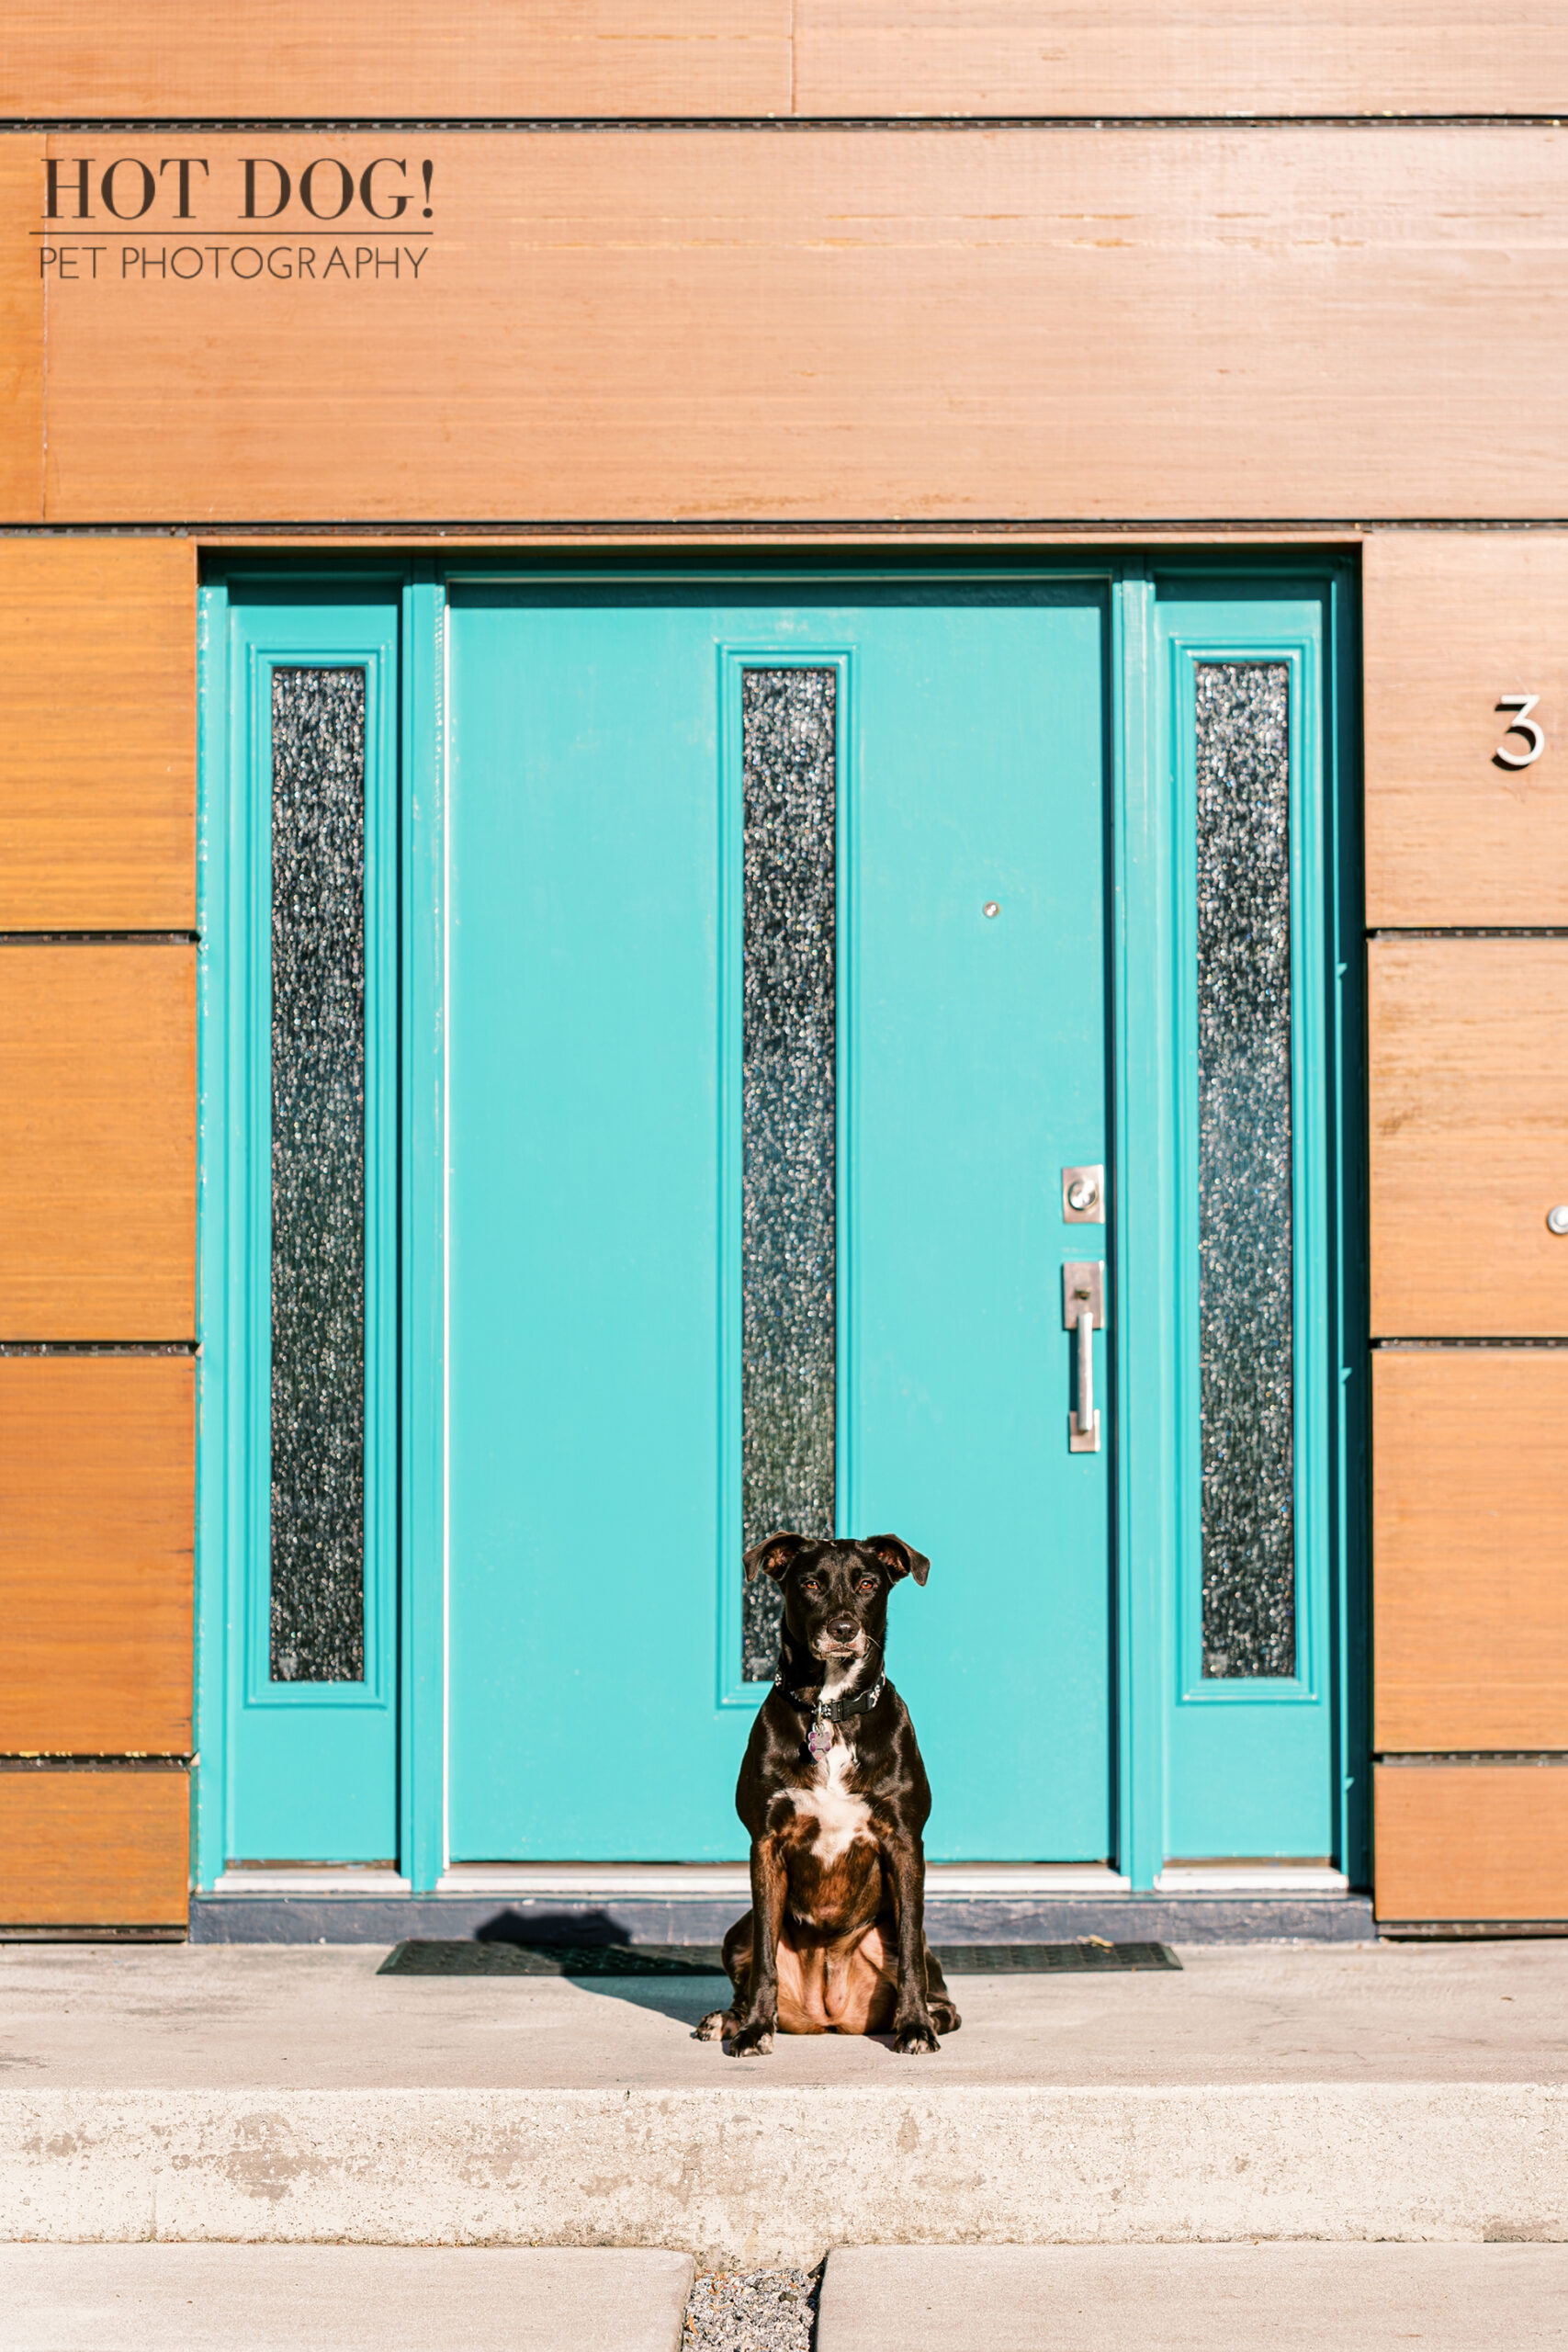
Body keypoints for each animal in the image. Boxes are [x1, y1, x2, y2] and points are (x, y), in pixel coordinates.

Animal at [695, 1533, 964, 2051]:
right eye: (811, 1584)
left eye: (867, 1583)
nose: (843, 1629)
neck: (830, 1708)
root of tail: (829, 2012)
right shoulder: (766, 1843)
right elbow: (764, 1957)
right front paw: (755, 2028)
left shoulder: (905, 1841)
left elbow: (912, 1958)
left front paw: (915, 2026)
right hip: (736, 1931)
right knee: (750, 1958)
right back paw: (730, 2018)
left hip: (902, 1938)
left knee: (936, 1986)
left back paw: (925, 2018)